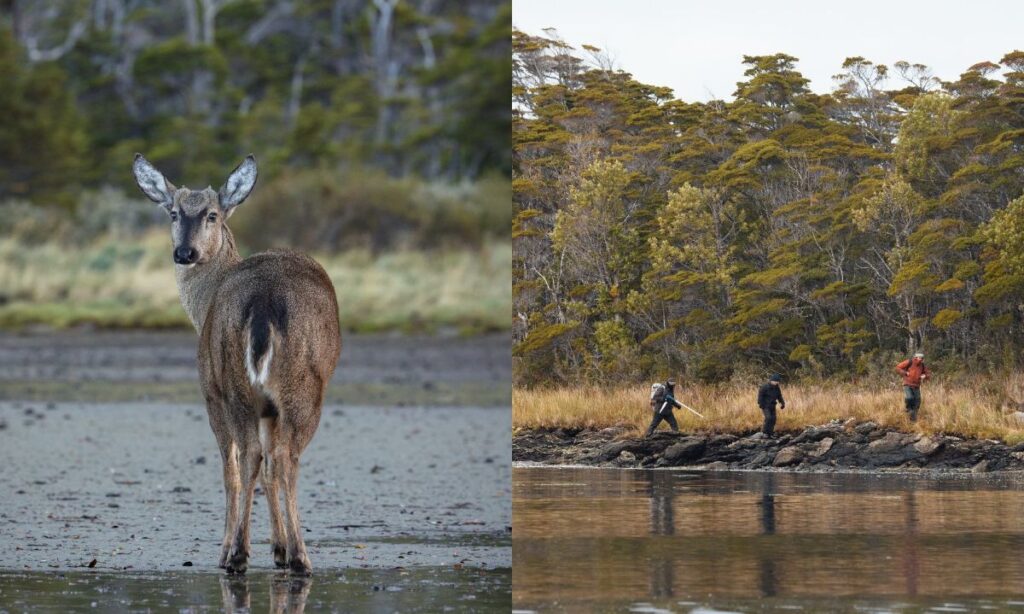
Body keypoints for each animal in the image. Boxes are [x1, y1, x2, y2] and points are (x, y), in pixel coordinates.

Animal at [130, 154, 339, 577]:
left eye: (211, 215)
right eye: (174, 213)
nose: (185, 253)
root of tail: (264, 301)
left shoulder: (210, 391)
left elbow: (232, 469)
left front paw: (242, 548)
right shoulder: (267, 407)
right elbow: (267, 468)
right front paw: (277, 547)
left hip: (240, 384)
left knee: (255, 457)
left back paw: (245, 554)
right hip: (288, 386)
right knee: (277, 458)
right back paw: (290, 553)